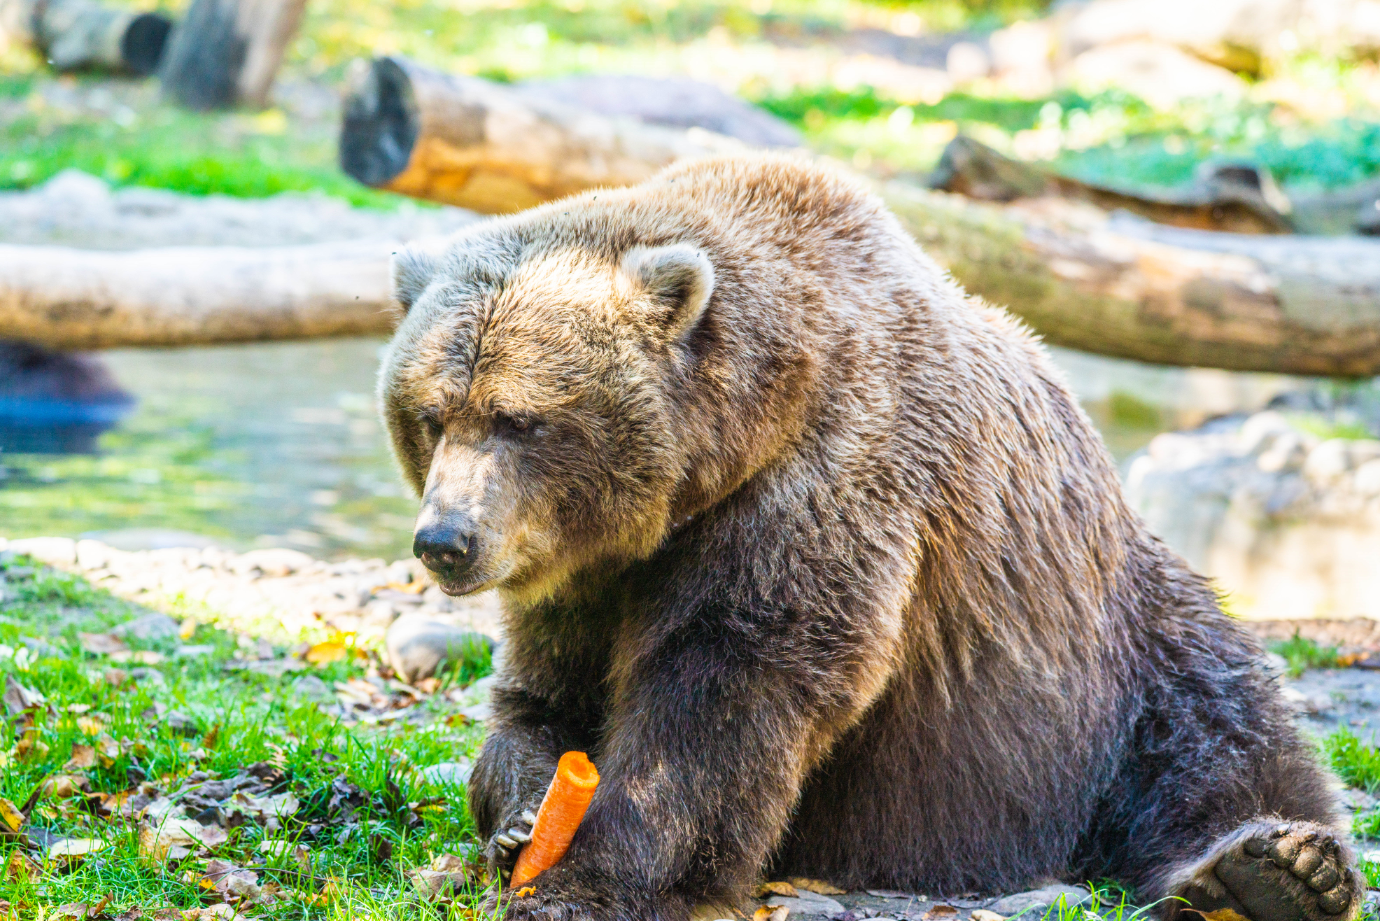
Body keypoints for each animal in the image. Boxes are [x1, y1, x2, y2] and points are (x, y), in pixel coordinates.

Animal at [379, 153, 1364, 921]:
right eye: (432, 412)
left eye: (520, 419)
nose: (446, 540)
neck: (731, 447)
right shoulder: (593, 563)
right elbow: (545, 685)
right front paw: (522, 811)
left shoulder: (828, 486)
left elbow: (729, 686)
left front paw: (592, 876)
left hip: (1113, 634)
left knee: (1218, 724)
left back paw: (1277, 864)